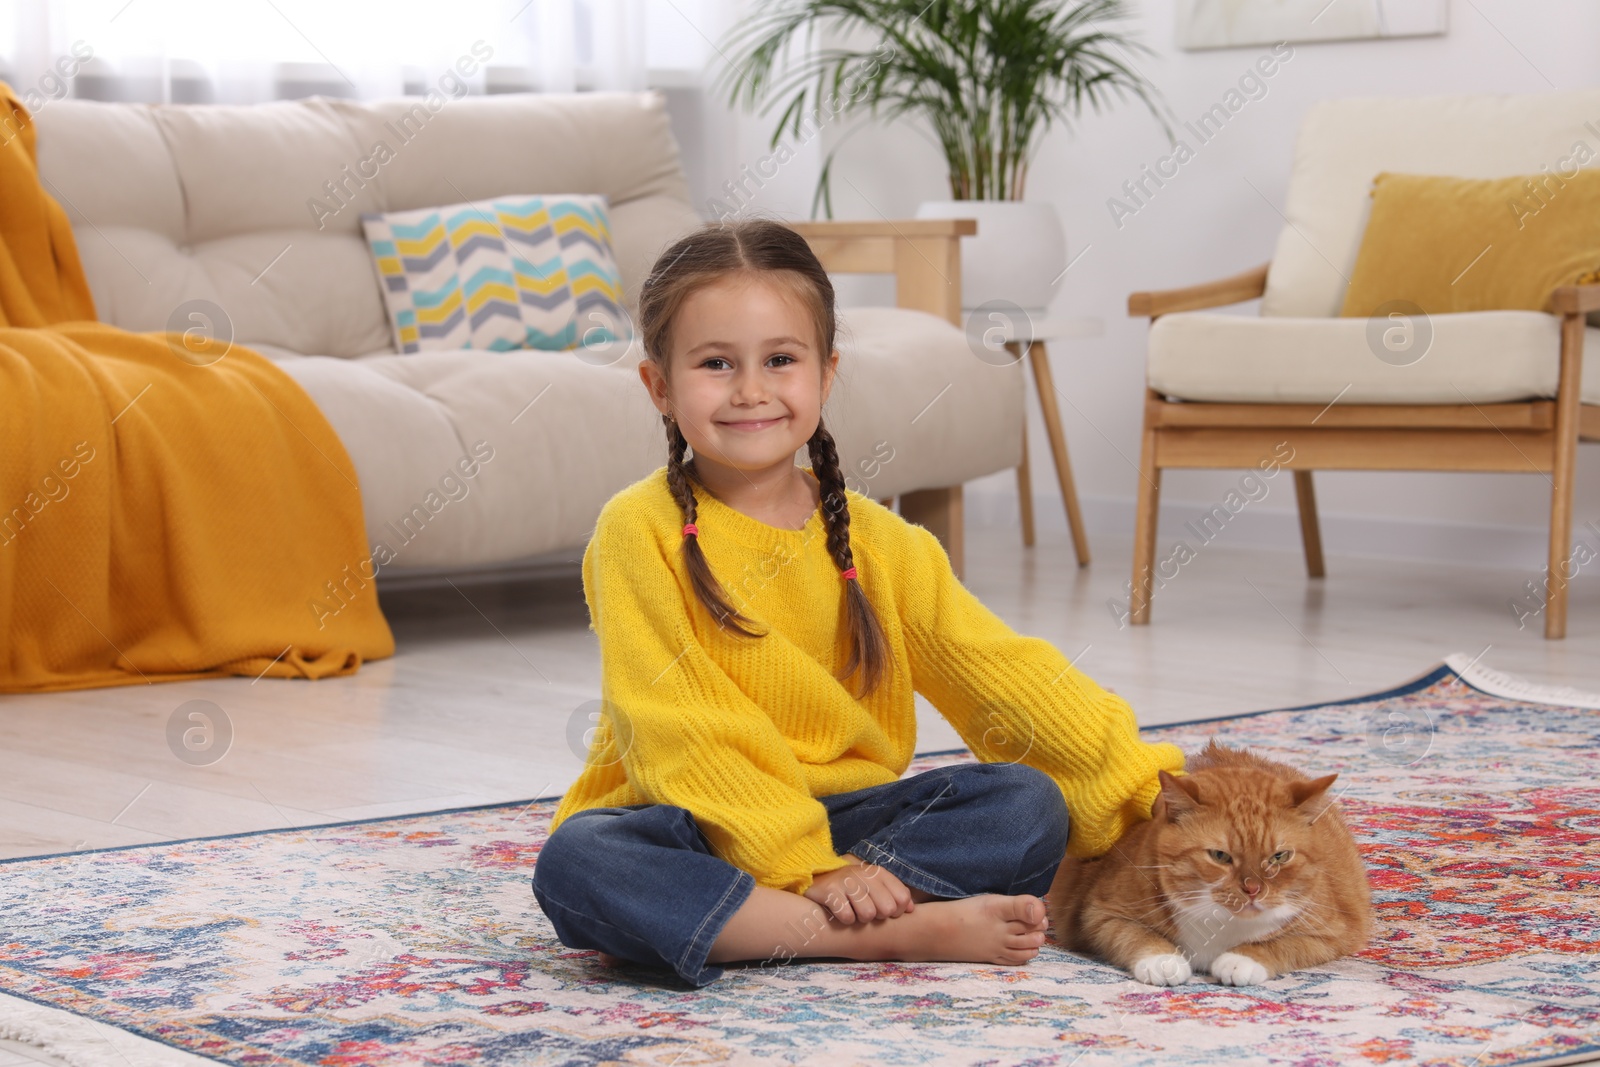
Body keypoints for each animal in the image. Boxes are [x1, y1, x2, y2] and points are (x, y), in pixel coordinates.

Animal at [1049, 742, 1376, 985]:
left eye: (1279, 857)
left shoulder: (1334, 932)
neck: (1220, 924)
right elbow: (1133, 934)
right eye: (1220, 856)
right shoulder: (1099, 914)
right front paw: (1162, 959)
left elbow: (1284, 945)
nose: (1253, 889)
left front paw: (1242, 960)